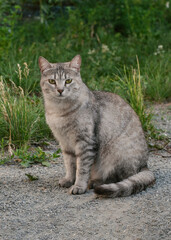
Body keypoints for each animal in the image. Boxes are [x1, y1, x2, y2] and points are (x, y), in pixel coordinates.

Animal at [38, 54, 155, 197]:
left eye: (68, 81)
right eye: (52, 81)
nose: (60, 90)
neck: (59, 111)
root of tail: (145, 165)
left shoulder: (85, 143)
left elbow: (82, 169)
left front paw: (79, 186)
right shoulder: (65, 143)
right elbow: (70, 165)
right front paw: (69, 179)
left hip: (115, 153)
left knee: (118, 178)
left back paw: (94, 182)